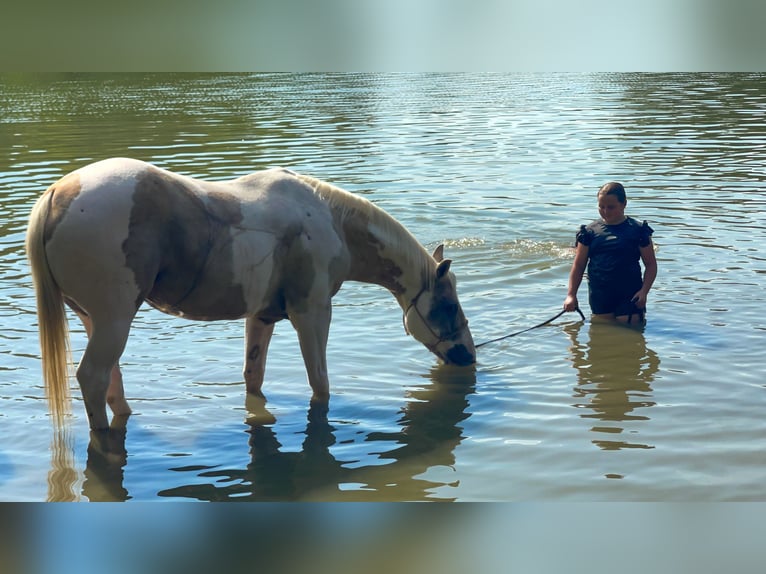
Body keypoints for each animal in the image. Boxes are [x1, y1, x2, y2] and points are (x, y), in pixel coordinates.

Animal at [26, 157, 476, 430]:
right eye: (449, 305)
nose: (469, 356)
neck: (330, 221)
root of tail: (58, 194)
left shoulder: (261, 317)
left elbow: (253, 378)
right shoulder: (312, 315)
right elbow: (320, 384)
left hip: (94, 321)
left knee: (109, 382)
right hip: (114, 321)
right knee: (92, 377)